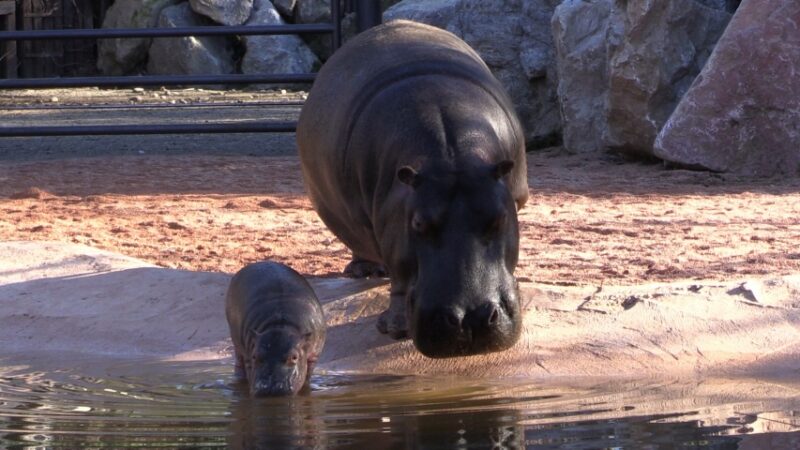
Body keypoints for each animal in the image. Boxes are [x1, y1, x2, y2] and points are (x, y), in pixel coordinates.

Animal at [225, 262, 324, 396]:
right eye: (255, 356)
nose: (270, 388)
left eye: (294, 357)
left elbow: (307, 376)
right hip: (237, 344)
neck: (281, 324)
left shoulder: (314, 356)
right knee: (239, 365)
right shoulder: (249, 356)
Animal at [296, 20, 528, 358]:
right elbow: (400, 274)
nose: (470, 319)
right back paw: (365, 272)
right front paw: (394, 329)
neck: (451, 157)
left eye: (500, 218)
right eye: (418, 223)